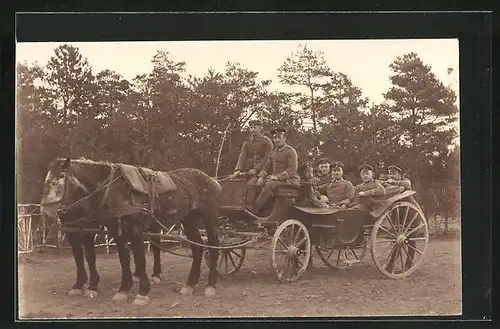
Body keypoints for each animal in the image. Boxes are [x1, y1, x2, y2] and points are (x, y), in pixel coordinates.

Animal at [42, 158, 222, 304]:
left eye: (59, 179)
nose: (45, 211)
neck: (112, 189)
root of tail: (212, 180)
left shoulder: (134, 230)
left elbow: (139, 258)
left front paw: (142, 292)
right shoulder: (113, 231)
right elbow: (122, 258)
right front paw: (122, 289)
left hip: (209, 219)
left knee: (214, 246)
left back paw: (211, 285)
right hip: (189, 219)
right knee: (197, 247)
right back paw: (189, 284)